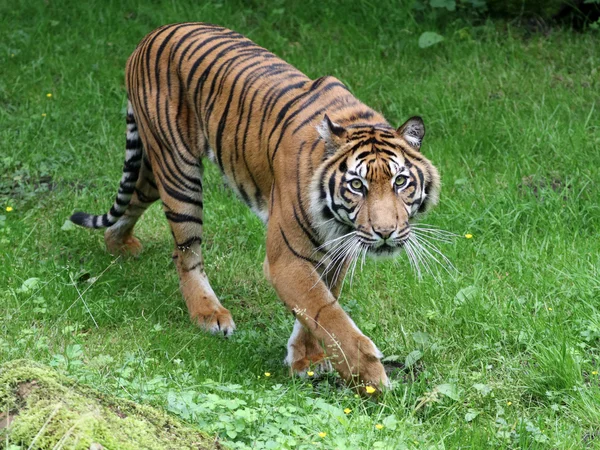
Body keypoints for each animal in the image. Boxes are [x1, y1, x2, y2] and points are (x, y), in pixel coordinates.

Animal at [71, 22, 440, 392]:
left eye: (400, 182)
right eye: (356, 186)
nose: (385, 232)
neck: (338, 222)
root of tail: (151, 35)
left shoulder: (335, 253)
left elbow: (317, 308)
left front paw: (306, 360)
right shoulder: (285, 260)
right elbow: (329, 315)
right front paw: (371, 379)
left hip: (153, 167)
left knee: (133, 200)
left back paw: (119, 245)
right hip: (179, 172)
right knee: (185, 252)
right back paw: (209, 314)